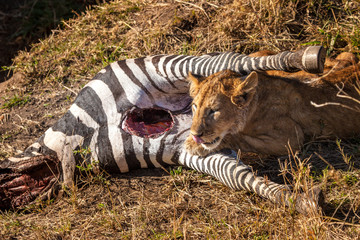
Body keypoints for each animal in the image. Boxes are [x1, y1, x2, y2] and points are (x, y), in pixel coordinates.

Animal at [0, 45, 324, 214]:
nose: (8, 202)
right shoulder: (182, 149)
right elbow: (239, 177)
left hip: (163, 68)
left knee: (231, 60)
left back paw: (308, 58)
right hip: (195, 146)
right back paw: (305, 201)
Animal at [184, 52, 360, 157]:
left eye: (214, 111)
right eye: (195, 106)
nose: (195, 134)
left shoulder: (291, 138)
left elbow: (240, 139)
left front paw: (192, 144)